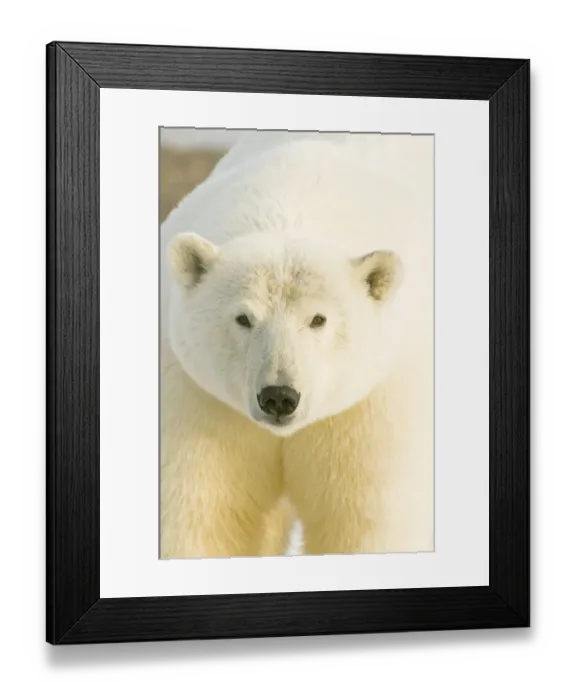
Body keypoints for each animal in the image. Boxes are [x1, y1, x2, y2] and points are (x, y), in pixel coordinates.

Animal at [159, 131, 434, 559]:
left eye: (318, 319)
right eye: (244, 318)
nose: (279, 396)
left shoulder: (374, 407)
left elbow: (367, 523)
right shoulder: (200, 402)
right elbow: (203, 514)